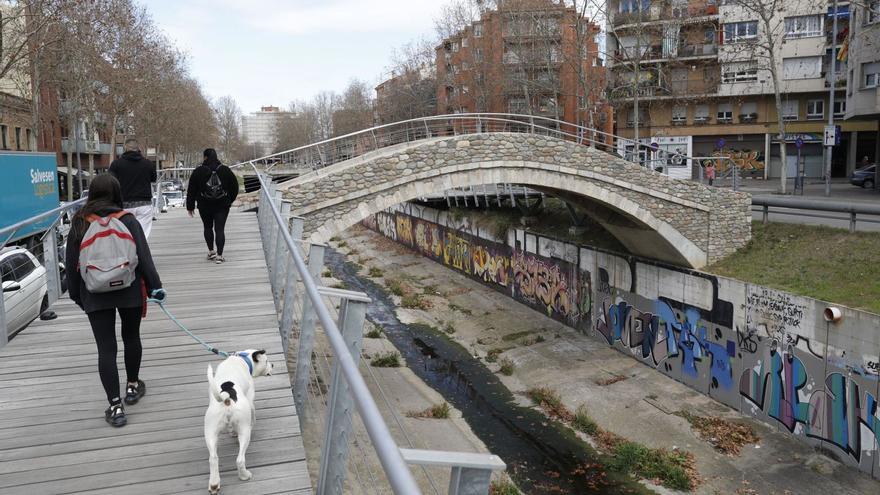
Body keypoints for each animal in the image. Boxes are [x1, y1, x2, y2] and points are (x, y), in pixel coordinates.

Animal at [205, 350, 274, 494]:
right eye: (266, 361)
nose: (273, 365)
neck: (243, 359)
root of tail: (227, 397)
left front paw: (232, 432)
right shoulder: (250, 398)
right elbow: (253, 412)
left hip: (210, 430)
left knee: (213, 459)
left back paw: (214, 484)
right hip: (244, 431)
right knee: (240, 459)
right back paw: (244, 475)